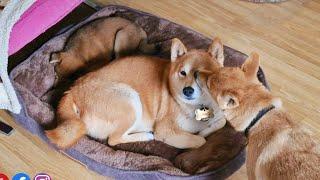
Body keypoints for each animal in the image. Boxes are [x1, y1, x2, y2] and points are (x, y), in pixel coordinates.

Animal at [46, 37, 226, 148]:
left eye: (202, 74)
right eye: (183, 73)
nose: (187, 90)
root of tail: (73, 90)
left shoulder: (220, 113)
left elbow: (221, 122)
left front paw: (206, 129)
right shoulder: (165, 130)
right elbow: (200, 141)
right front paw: (201, 135)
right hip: (130, 100)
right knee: (113, 140)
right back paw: (145, 136)